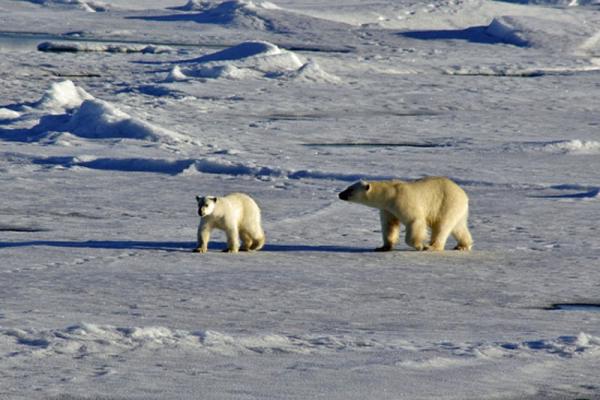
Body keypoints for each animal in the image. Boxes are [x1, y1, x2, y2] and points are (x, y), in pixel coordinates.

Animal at [338, 177, 474, 252]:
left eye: (350, 190)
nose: (340, 194)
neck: (389, 194)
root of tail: (463, 194)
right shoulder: (387, 209)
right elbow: (389, 225)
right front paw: (382, 247)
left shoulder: (402, 200)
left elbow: (414, 220)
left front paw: (419, 245)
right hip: (457, 208)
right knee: (458, 227)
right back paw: (462, 246)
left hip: (447, 203)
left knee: (442, 226)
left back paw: (431, 247)